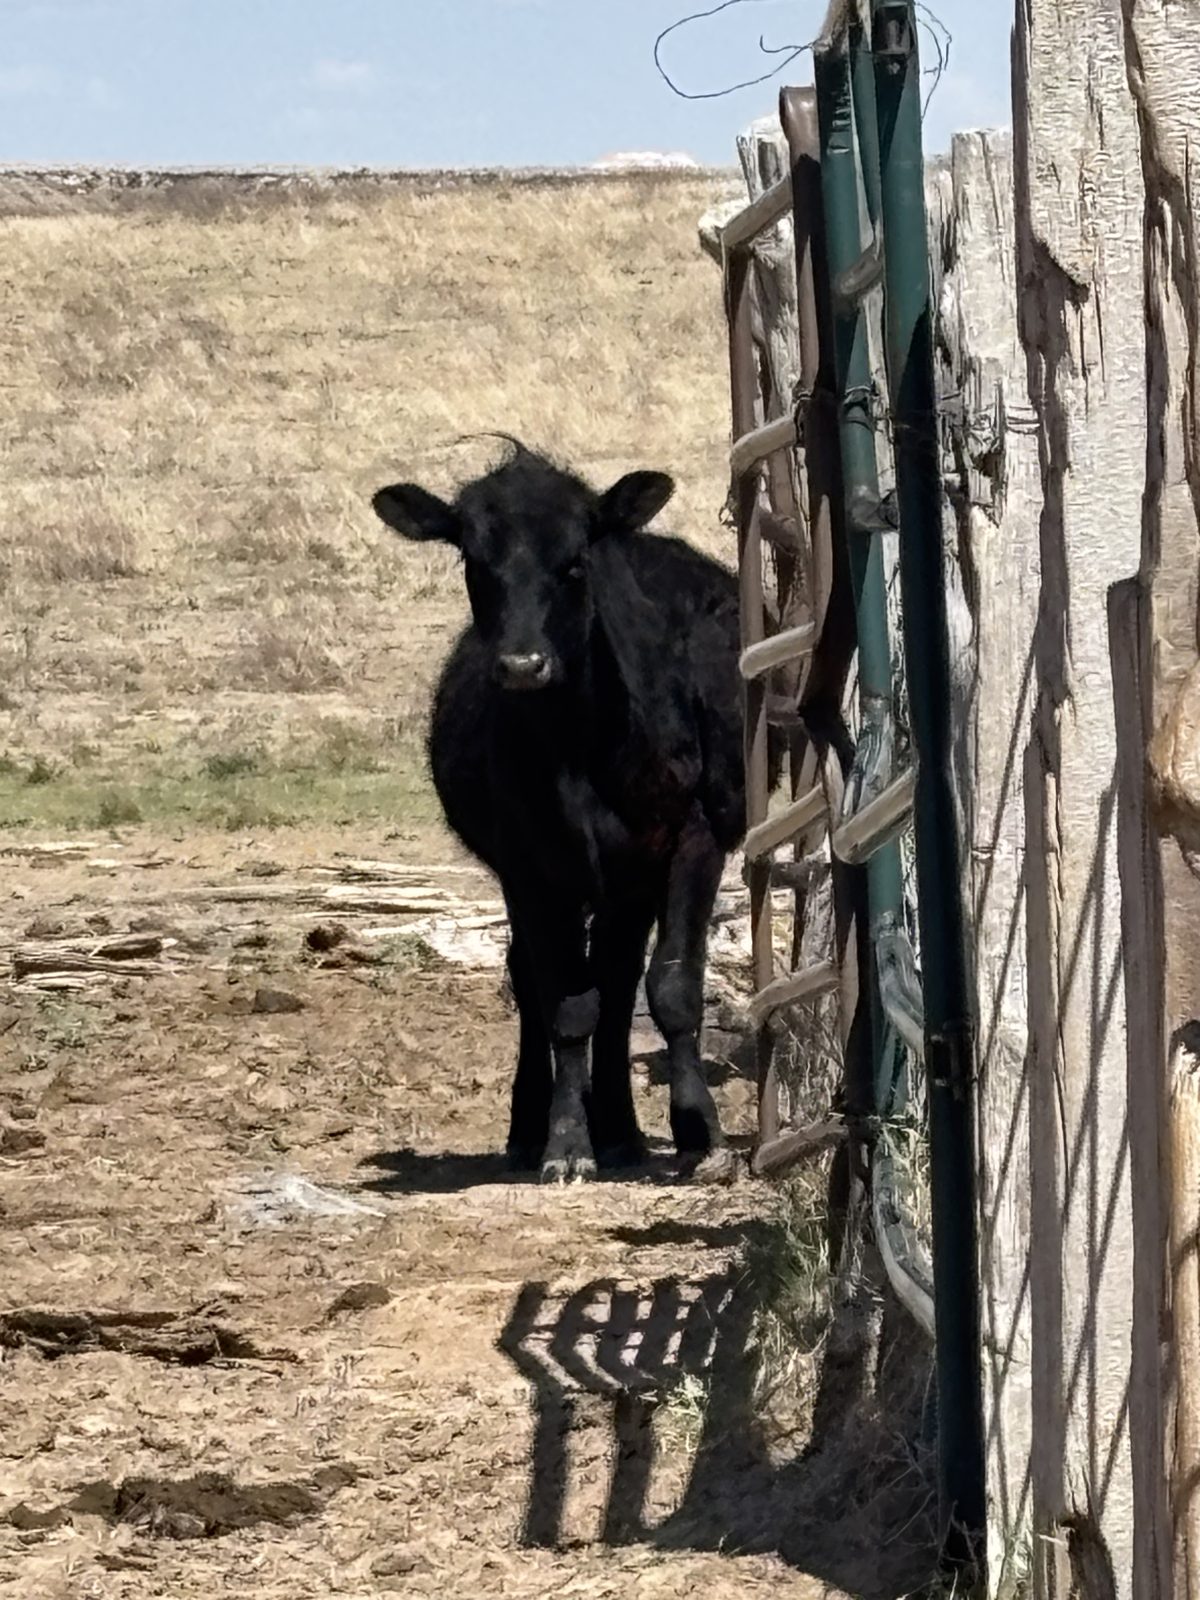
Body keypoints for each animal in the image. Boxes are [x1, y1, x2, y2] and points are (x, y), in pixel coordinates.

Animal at [371, 438, 746, 1183]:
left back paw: (624, 1132)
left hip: (630, 876)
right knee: (538, 979)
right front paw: (567, 1144)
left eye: (575, 562)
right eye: (474, 562)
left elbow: (672, 986)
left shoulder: (693, 836)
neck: (580, 747)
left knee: (620, 977)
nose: (522, 665)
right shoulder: (531, 861)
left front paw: (699, 1133)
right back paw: (537, 1129)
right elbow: (567, 1002)